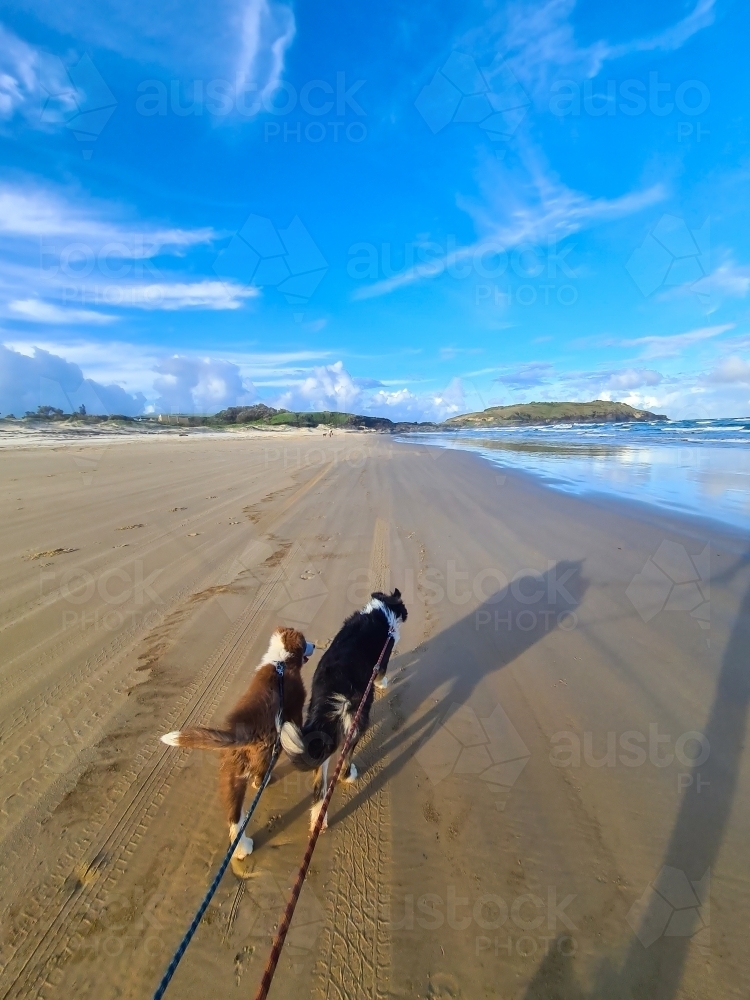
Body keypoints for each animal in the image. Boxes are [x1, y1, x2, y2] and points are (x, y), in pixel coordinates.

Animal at [160, 628, 312, 856]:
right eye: (305, 642)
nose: (314, 645)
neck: (281, 663)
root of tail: (238, 731)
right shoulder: (295, 709)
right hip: (262, 754)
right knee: (258, 778)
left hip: (231, 777)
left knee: (235, 819)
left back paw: (241, 851)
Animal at [284, 588, 412, 832]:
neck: (382, 609)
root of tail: (334, 694)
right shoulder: (383, 657)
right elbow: (382, 672)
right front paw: (384, 684)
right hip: (356, 719)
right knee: (345, 757)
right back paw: (348, 775)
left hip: (323, 732)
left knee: (320, 781)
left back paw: (319, 819)